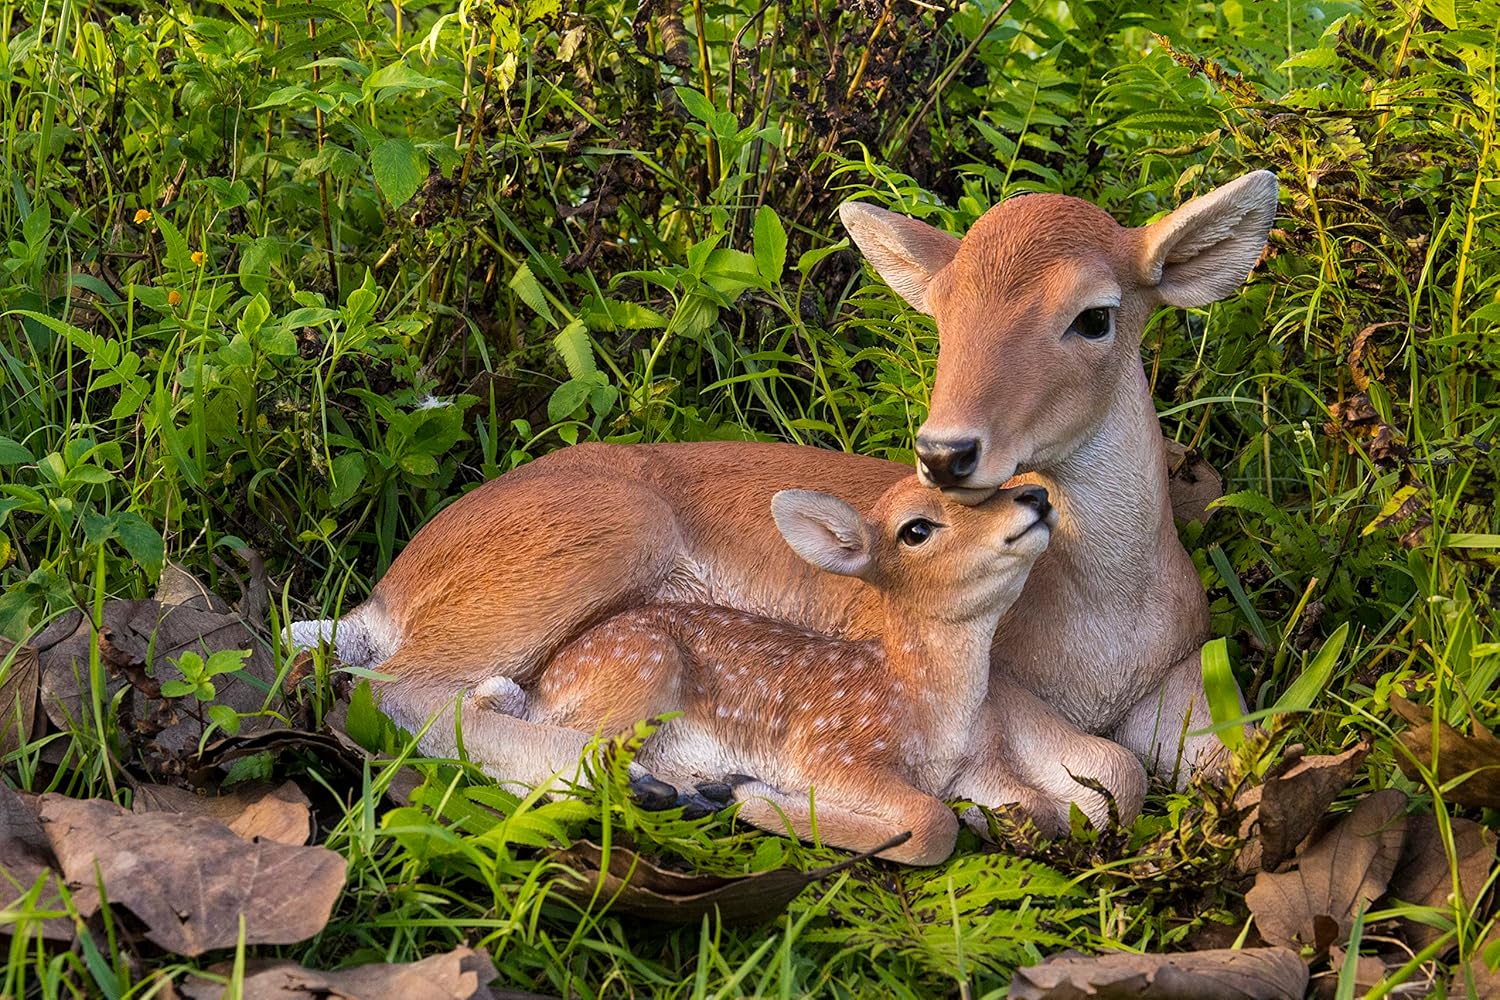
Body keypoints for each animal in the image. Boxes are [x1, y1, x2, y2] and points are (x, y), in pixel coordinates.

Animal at [289, 170, 1278, 826]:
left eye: (1095, 316)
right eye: (942, 317)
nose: (945, 450)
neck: (1102, 620)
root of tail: (390, 593)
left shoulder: (1186, 670)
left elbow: (1229, 760)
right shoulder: (991, 683)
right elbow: (1112, 777)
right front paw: (1003, 806)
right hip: (591, 544)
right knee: (397, 692)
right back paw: (658, 780)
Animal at [462, 477, 1143, 865]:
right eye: (916, 528)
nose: (1035, 496)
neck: (927, 705)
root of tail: (551, 679)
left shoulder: (982, 766)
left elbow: (1041, 808)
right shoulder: (830, 748)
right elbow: (934, 823)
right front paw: (759, 796)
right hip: (641, 670)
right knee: (555, 747)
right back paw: (693, 790)